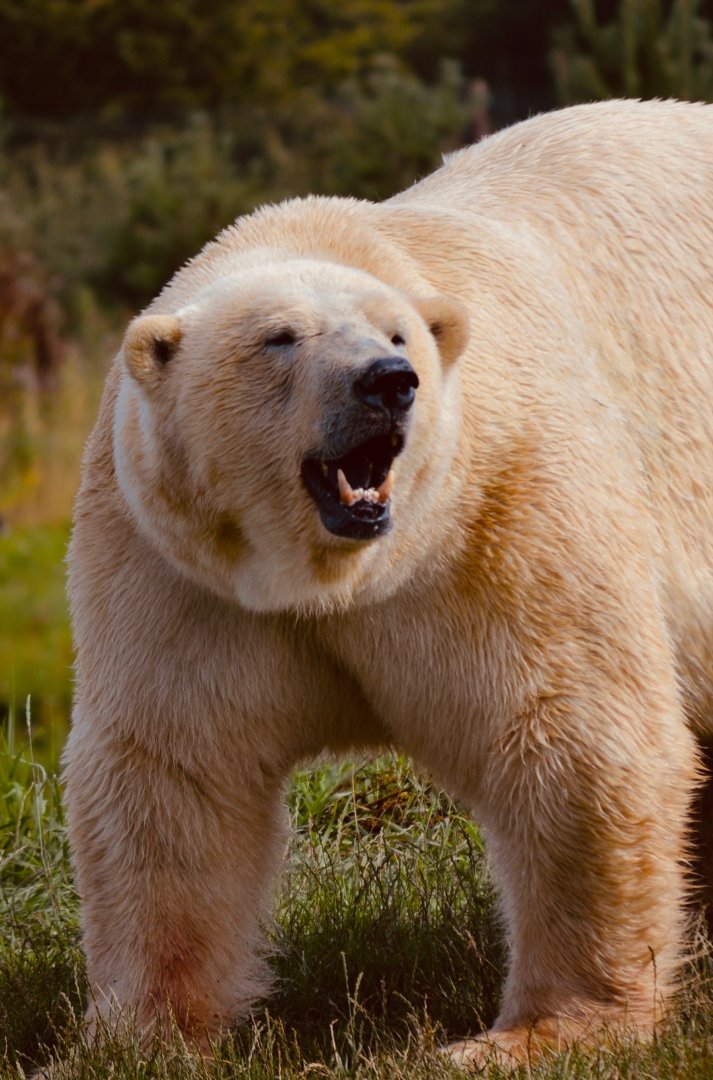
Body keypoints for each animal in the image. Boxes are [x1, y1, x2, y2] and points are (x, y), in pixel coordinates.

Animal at [65, 98, 713, 1068]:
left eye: (397, 334)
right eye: (280, 337)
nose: (387, 383)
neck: (331, 577)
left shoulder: (498, 514)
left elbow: (572, 736)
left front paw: (538, 1034)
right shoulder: (177, 570)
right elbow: (170, 776)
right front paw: (147, 1036)